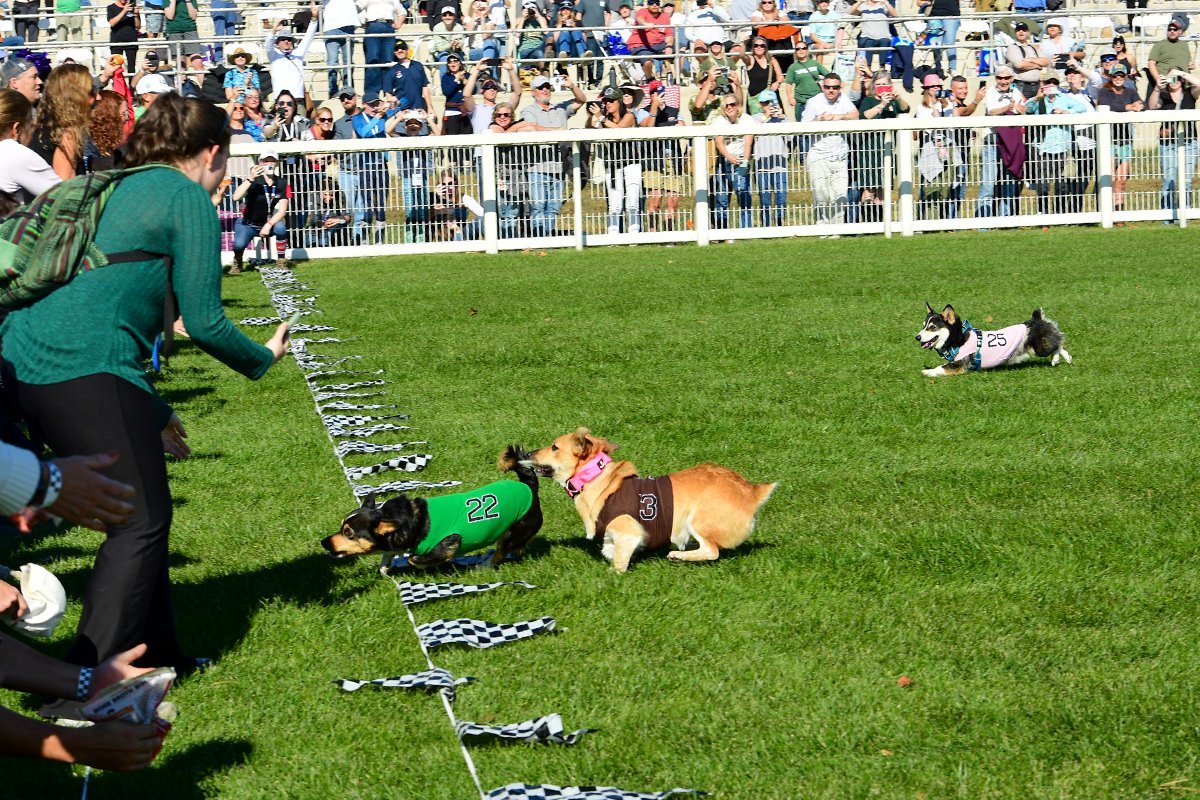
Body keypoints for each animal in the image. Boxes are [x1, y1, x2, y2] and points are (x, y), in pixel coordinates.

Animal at [321, 445, 543, 568]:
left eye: (349, 533)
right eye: (341, 526)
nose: (323, 542)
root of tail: (529, 486)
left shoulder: (446, 544)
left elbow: (414, 559)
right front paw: (385, 567)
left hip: (517, 529)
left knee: (502, 550)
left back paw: (484, 566)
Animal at [524, 428, 776, 573]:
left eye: (554, 447)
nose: (528, 453)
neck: (594, 476)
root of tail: (752, 492)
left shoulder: (629, 534)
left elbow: (618, 562)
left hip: (697, 520)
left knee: (711, 550)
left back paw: (678, 555)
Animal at [916, 302, 1072, 378]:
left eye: (932, 327)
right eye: (923, 326)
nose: (917, 337)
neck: (958, 339)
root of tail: (1037, 318)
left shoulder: (959, 364)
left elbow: (941, 368)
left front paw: (927, 372)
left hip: (1041, 347)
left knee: (1058, 343)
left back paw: (1058, 359)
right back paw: (1064, 358)